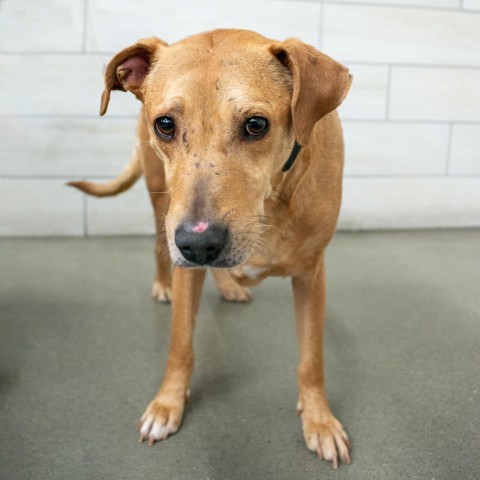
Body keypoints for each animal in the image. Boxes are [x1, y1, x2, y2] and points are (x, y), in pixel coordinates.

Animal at [68, 30, 352, 468]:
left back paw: (229, 283)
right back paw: (165, 283)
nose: (198, 244)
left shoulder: (311, 274)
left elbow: (312, 359)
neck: (271, 198)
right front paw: (168, 404)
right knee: (159, 249)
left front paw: (319, 420)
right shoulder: (185, 260)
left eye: (256, 124)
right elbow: (180, 345)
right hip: (160, 202)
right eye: (165, 124)